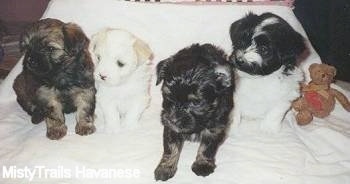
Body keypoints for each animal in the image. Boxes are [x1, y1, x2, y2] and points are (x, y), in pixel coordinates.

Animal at [154, 43, 234, 180]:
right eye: (168, 96)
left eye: (196, 103)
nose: (173, 119)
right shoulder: (170, 126)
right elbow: (171, 147)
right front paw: (165, 167)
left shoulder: (215, 126)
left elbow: (207, 147)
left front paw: (202, 164)